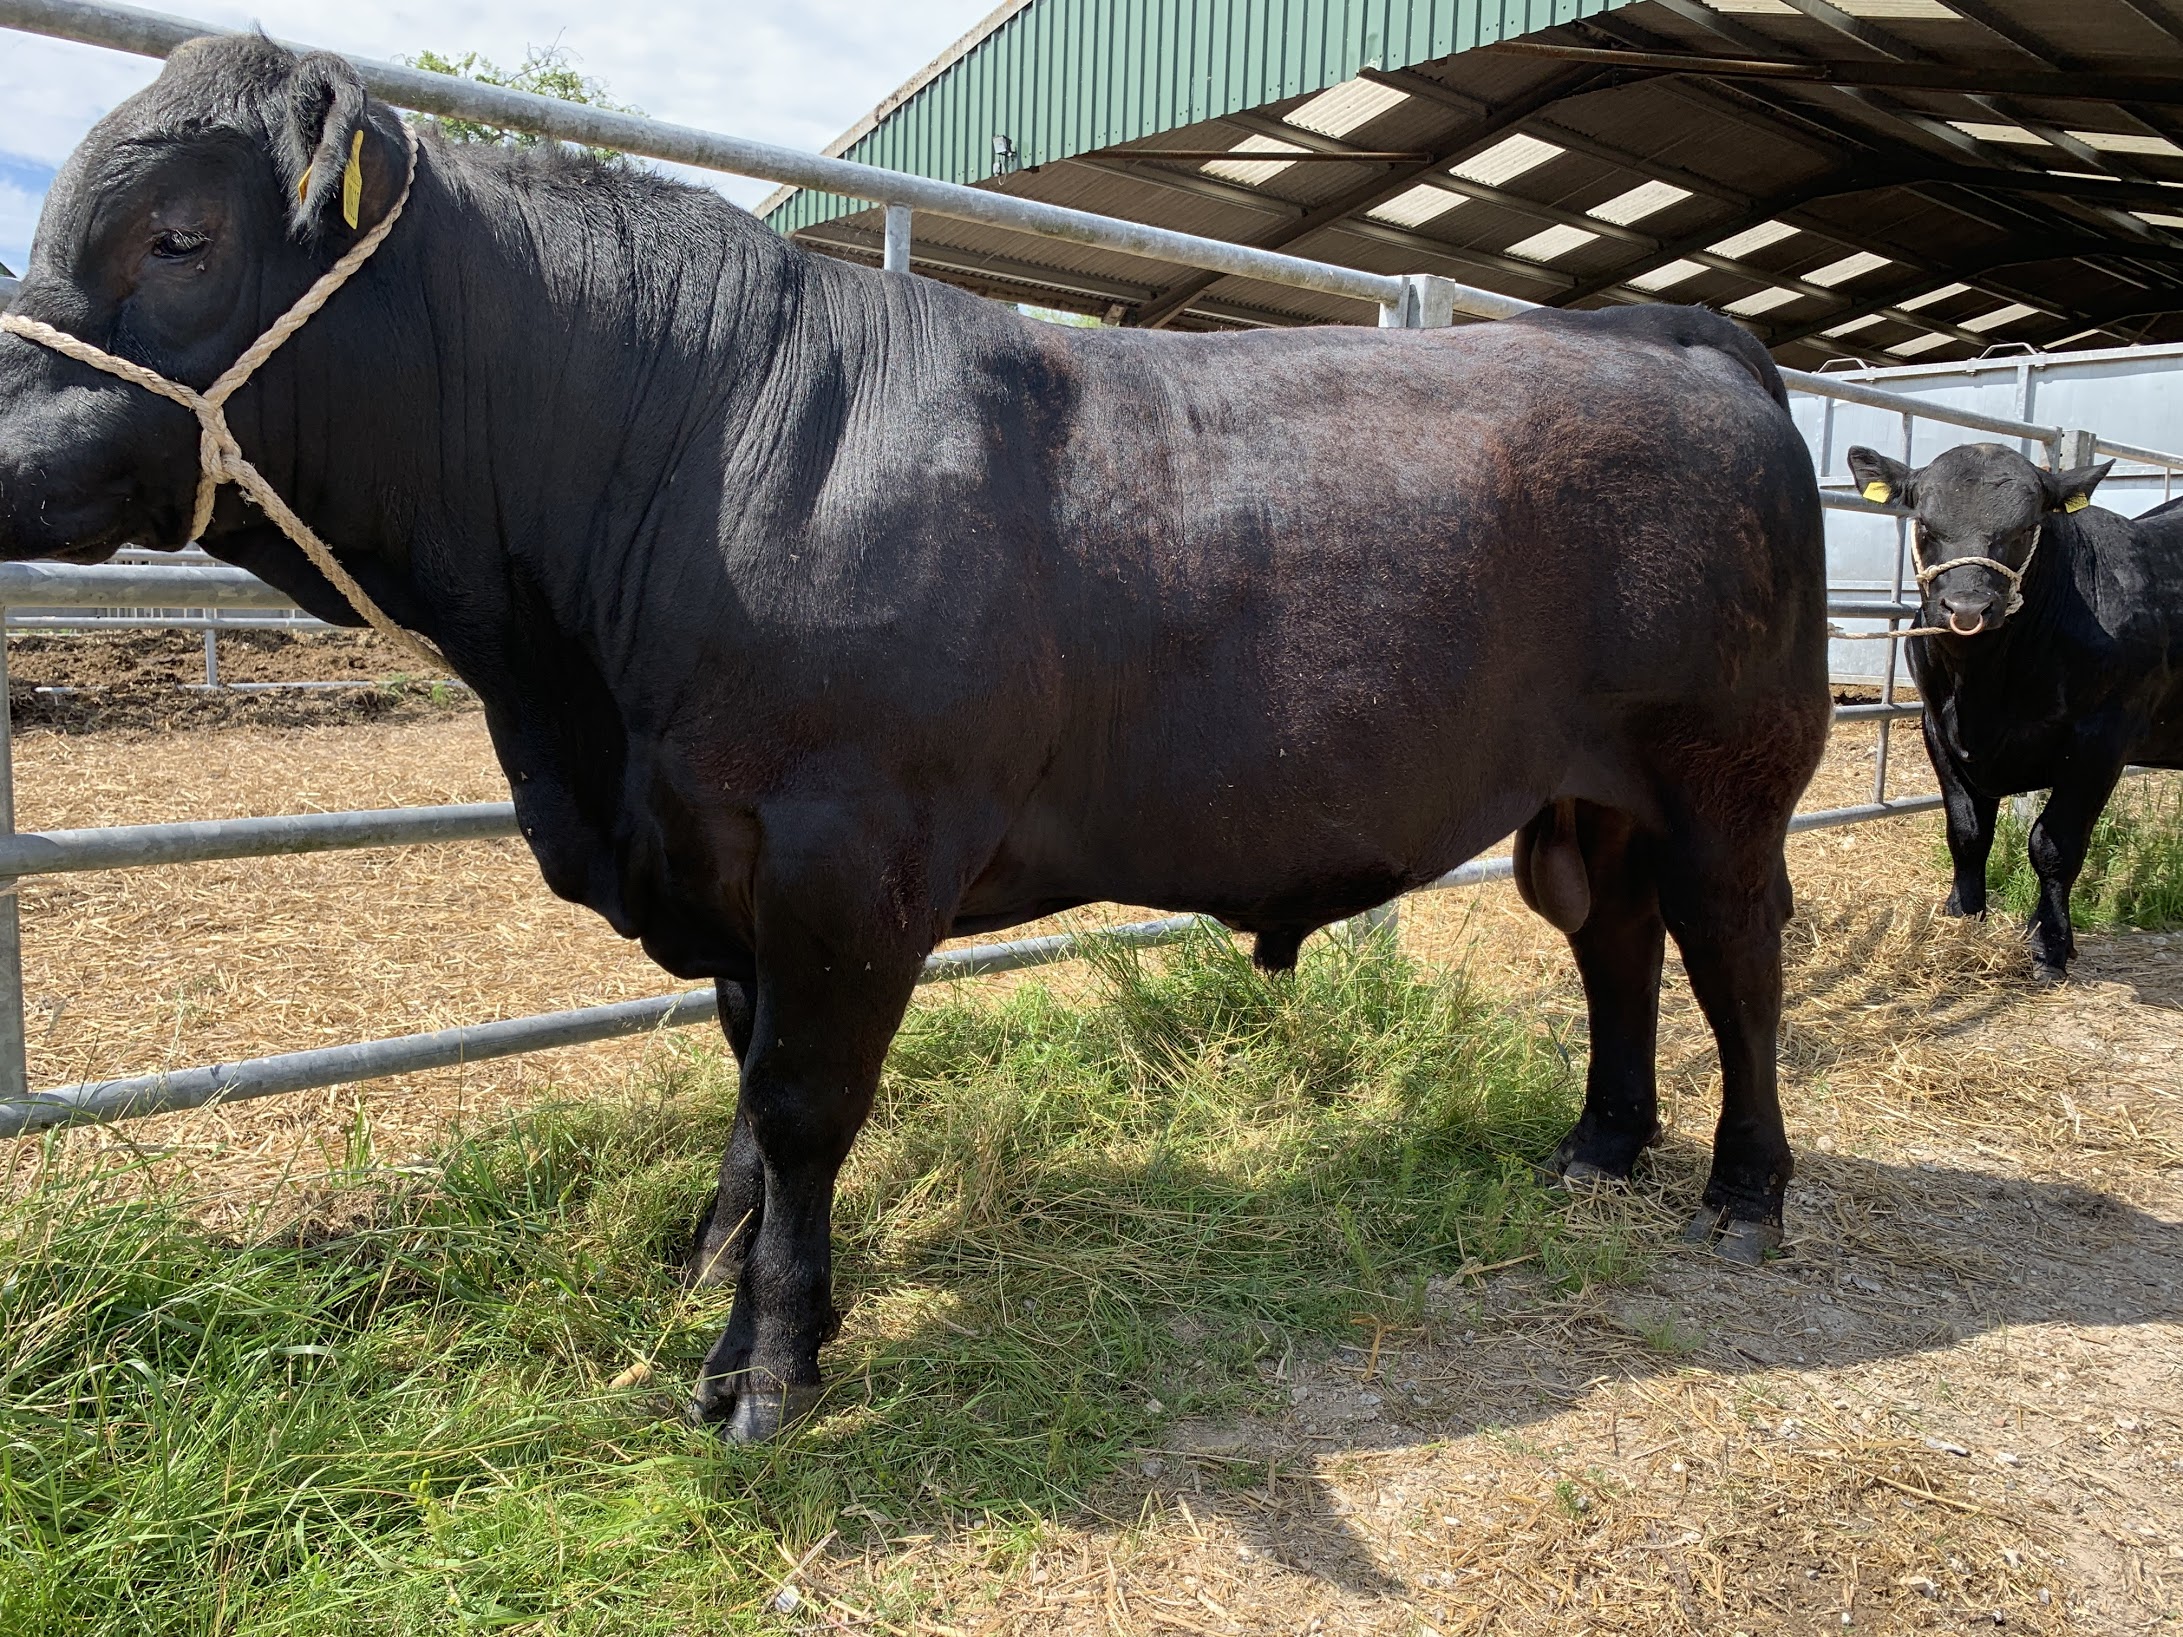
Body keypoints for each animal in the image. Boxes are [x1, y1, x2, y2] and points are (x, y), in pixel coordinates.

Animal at [0, 37, 1830, 1442]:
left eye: (177, 236)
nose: (0, 436)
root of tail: (1661, 332)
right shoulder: (724, 864)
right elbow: (744, 1091)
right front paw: (723, 1266)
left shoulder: (844, 858)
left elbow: (807, 1105)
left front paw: (763, 1364)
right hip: (1589, 799)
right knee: (1614, 949)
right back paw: (1598, 1144)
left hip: (1728, 775)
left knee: (1734, 959)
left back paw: (1743, 1193)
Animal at [1846, 442, 2183, 981]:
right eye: (1925, 525)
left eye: (2025, 529)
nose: (1966, 608)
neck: (1983, 691)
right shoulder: (1938, 728)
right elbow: (1967, 832)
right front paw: (1963, 917)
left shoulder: (2102, 739)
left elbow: (2054, 845)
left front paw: (2050, 945)